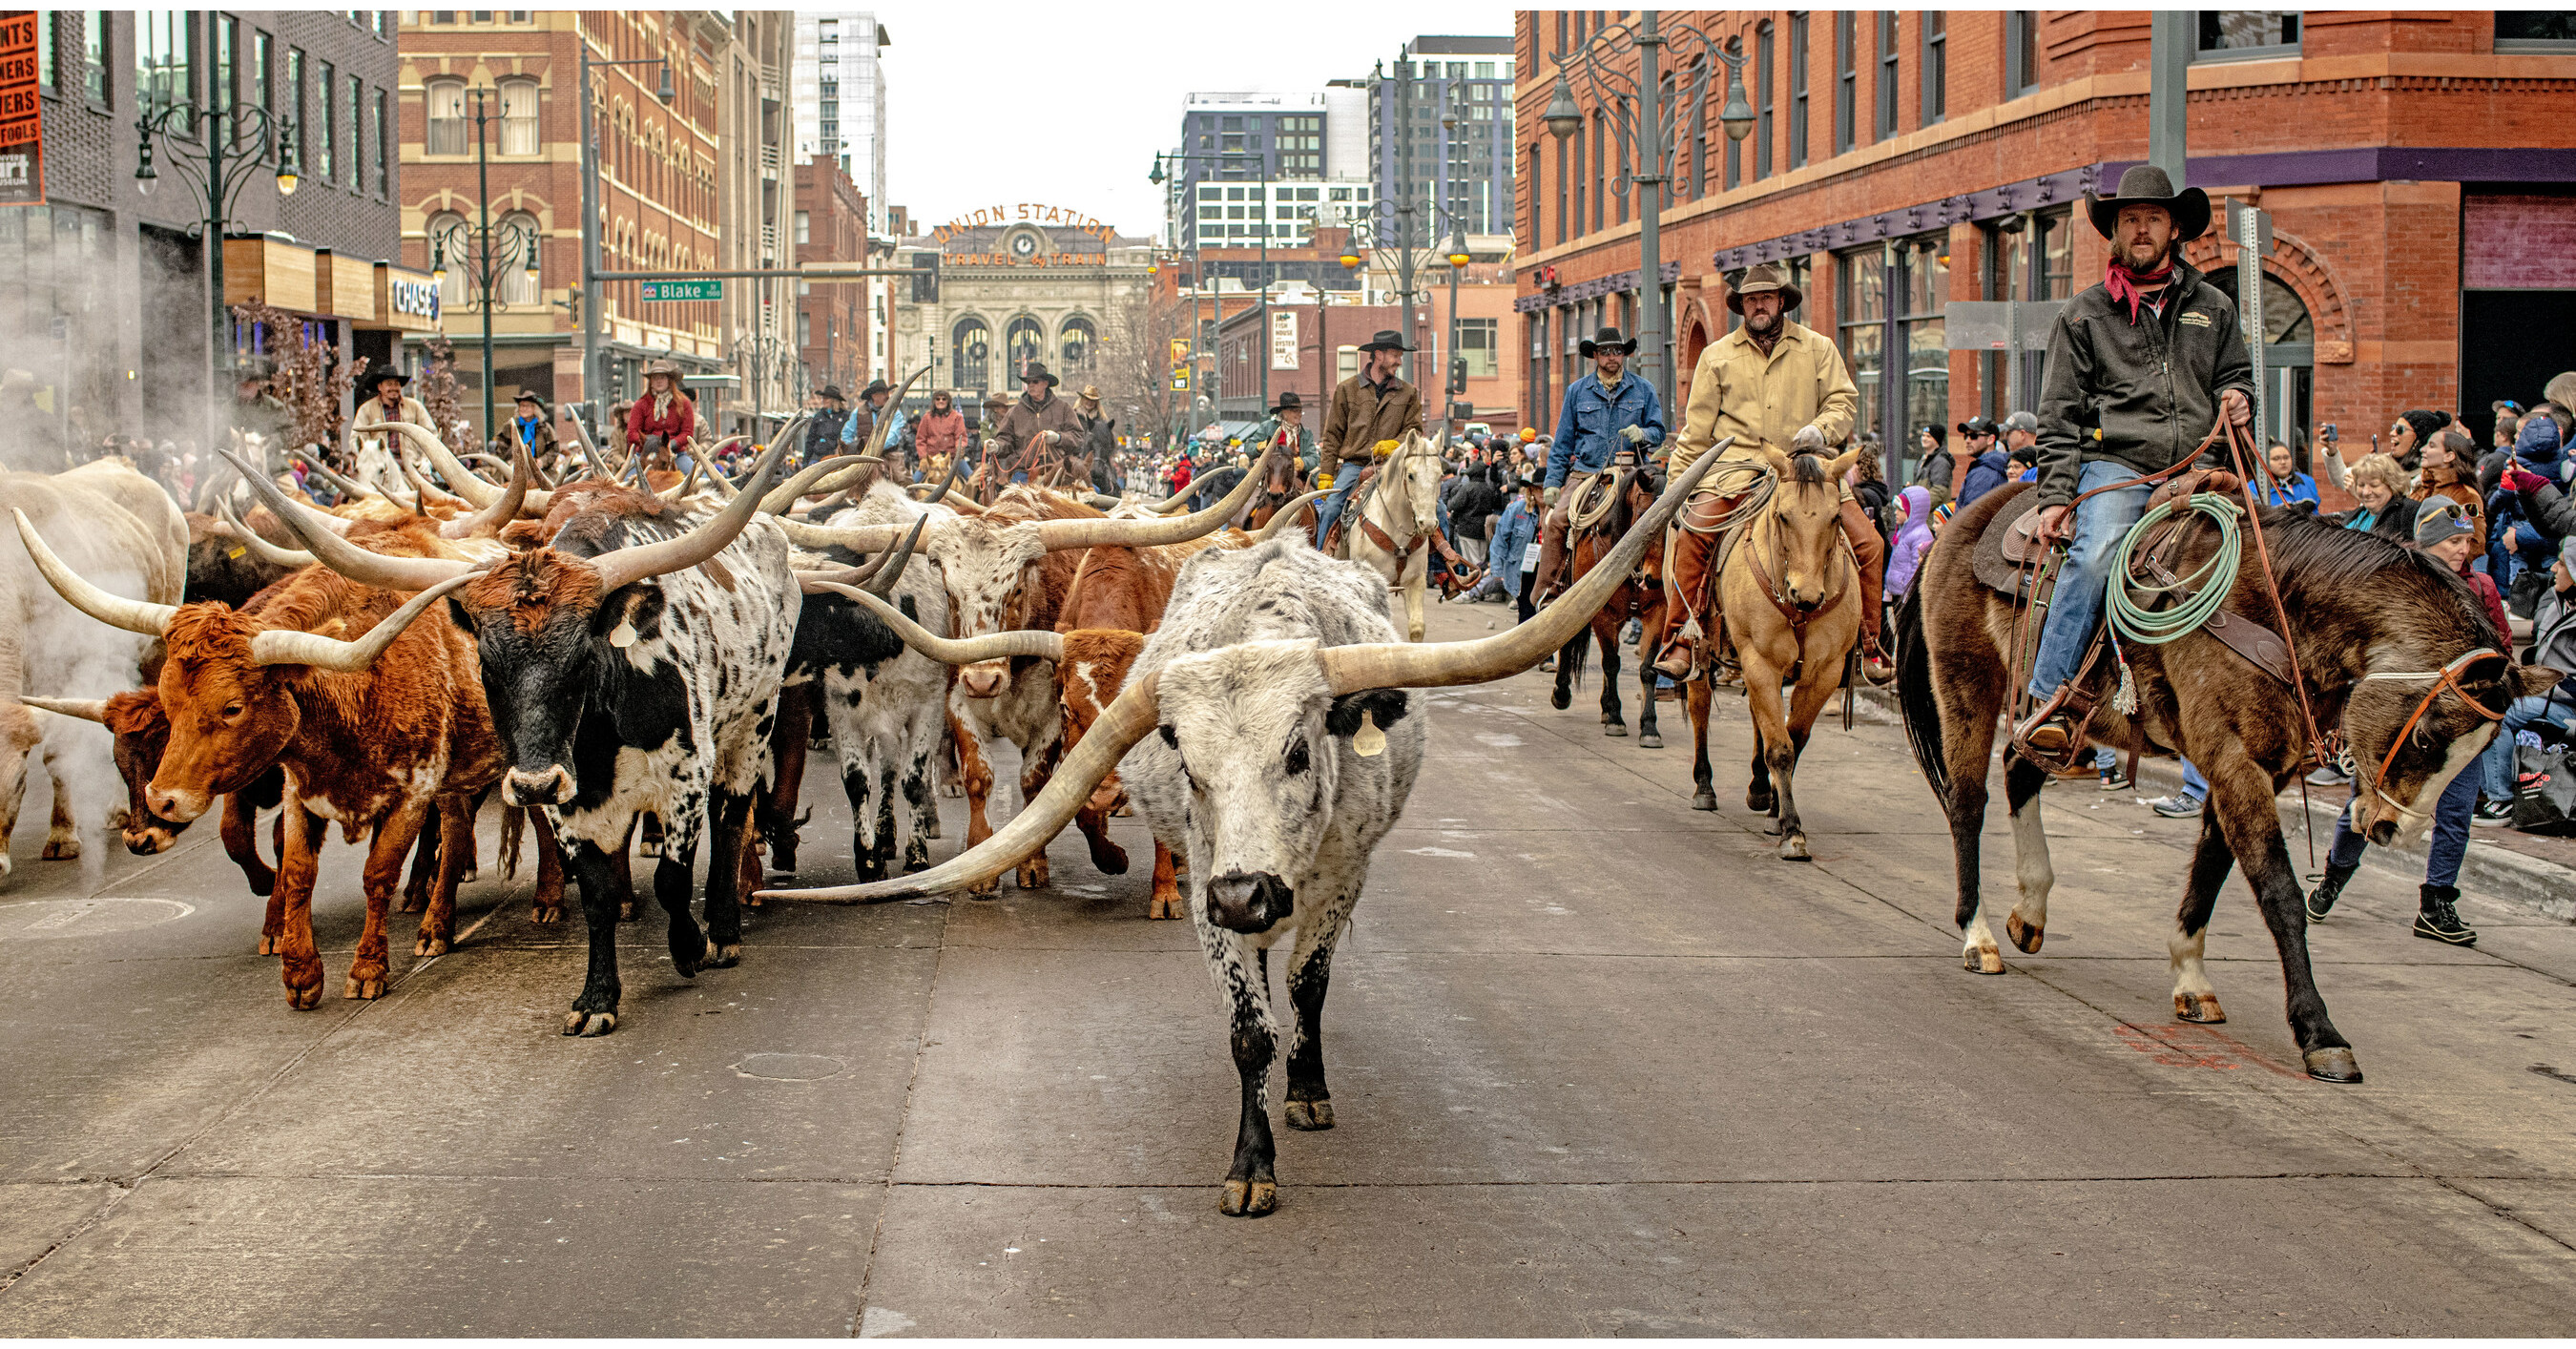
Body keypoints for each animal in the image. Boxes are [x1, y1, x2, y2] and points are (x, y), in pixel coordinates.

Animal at [1546, 458, 1669, 741]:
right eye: (1644, 515)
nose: (1655, 579)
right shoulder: (1602, 613)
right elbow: (1611, 663)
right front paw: (1615, 718)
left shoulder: (1658, 611)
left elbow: (1647, 668)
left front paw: (1649, 726)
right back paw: (1562, 694)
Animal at [1896, 478, 2555, 1081]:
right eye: (2426, 738)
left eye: (2480, 751)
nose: (2396, 831)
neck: (2280, 612)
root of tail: (1962, 515)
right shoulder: (2234, 760)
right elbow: (2279, 892)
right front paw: (2319, 1032)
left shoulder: (2257, 768)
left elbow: (2213, 869)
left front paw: (2191, 979)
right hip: (1967, 683)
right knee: (1968, 801)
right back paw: (1978, 935)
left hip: (2057, 718)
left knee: (2020, 772)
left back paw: (2030, 912)